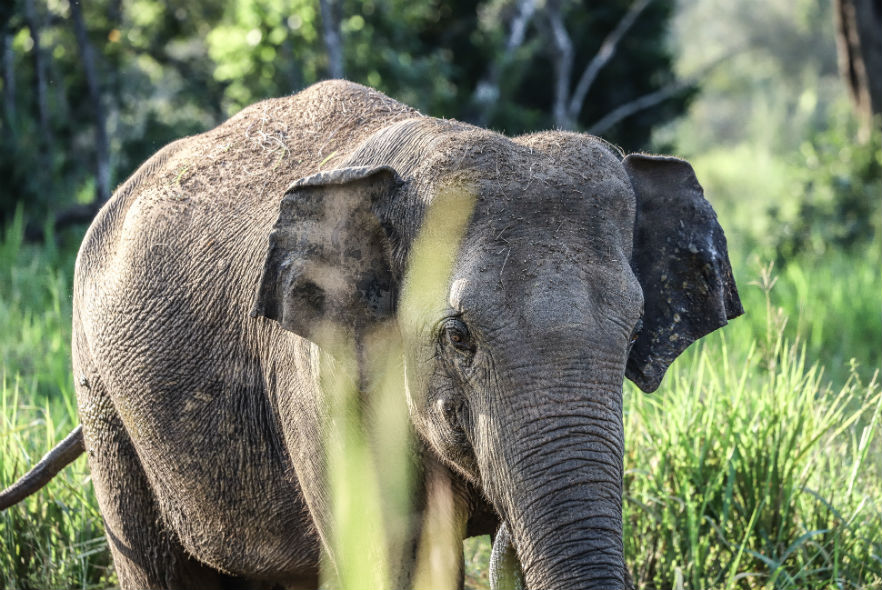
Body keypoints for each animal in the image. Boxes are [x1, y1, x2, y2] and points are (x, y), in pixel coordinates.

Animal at [1, 80, 744, 590]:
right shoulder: (319, 377)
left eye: (633, 332)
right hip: (102, 391)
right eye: (459, 337)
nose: (508, 538)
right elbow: (389, 559)